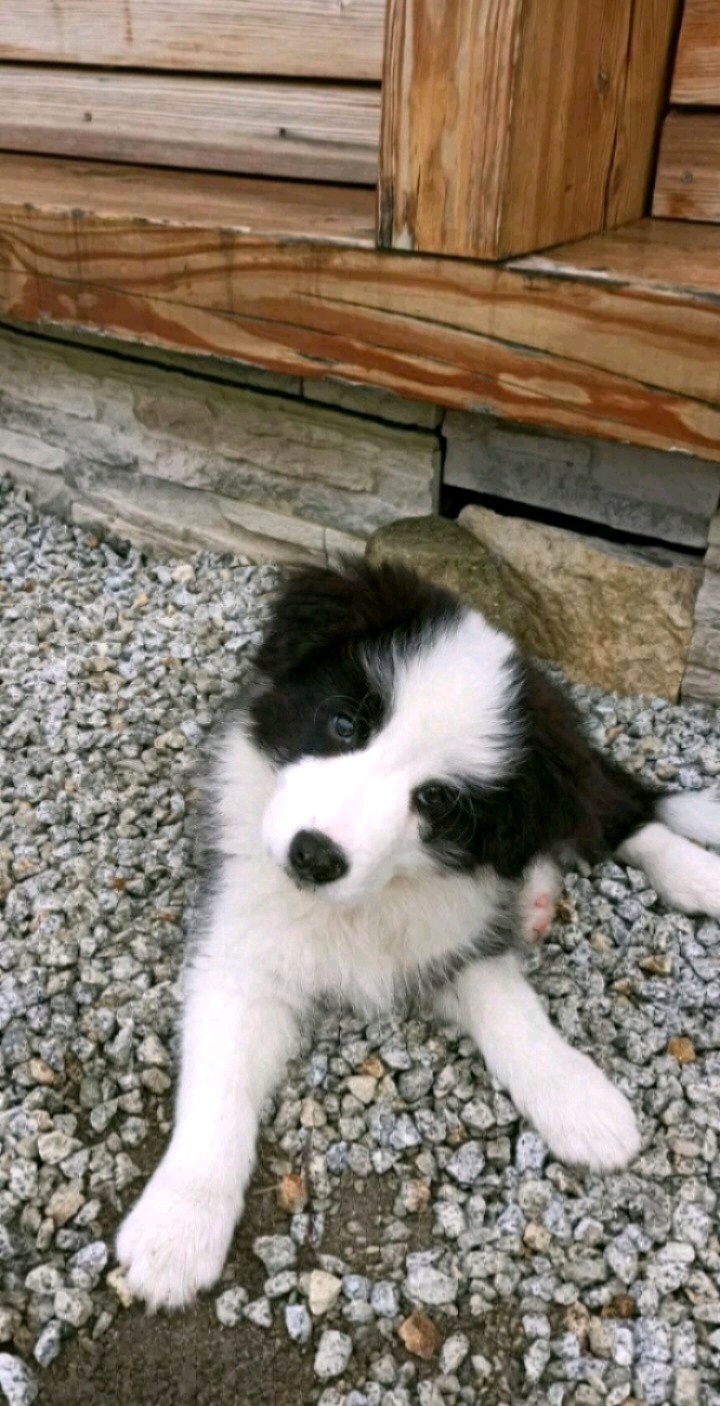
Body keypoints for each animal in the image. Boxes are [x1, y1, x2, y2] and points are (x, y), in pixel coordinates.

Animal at [118, 556, 720, 1304]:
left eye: (435, 799)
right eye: (343, 724)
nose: (313, 857)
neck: (364, 904)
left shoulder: (458, 935)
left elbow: (514, 1013)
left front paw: (580, 1101)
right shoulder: (241, 946)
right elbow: (220, 1084)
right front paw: (177, 1228)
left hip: (573, 791)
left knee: (622, 812)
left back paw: (697, 874)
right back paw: (539, 897)